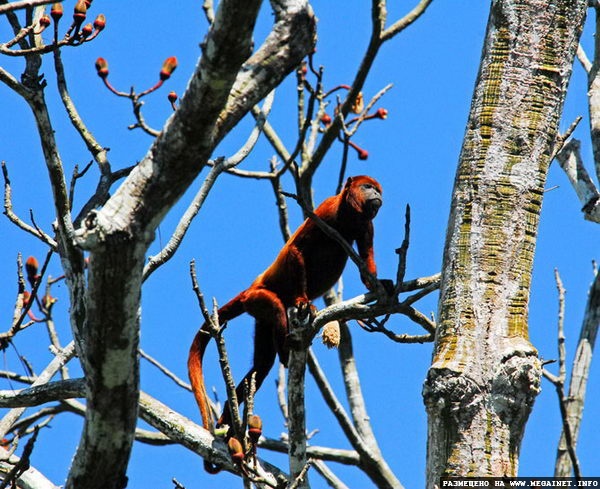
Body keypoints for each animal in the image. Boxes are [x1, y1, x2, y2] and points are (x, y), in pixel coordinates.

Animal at [190, 176, 386, 466]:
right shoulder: (325, 212)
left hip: (259, 319)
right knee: (276, 311)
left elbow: (367, 270)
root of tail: (250, 288)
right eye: (367, 187)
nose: (377, 195)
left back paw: (228, 416)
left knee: (262, 365)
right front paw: (304, 300)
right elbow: (296, 249)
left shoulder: (366, 225)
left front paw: (383, 285)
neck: (348, 215)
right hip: (257, 298)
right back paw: (285, 346)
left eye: (377, 189)